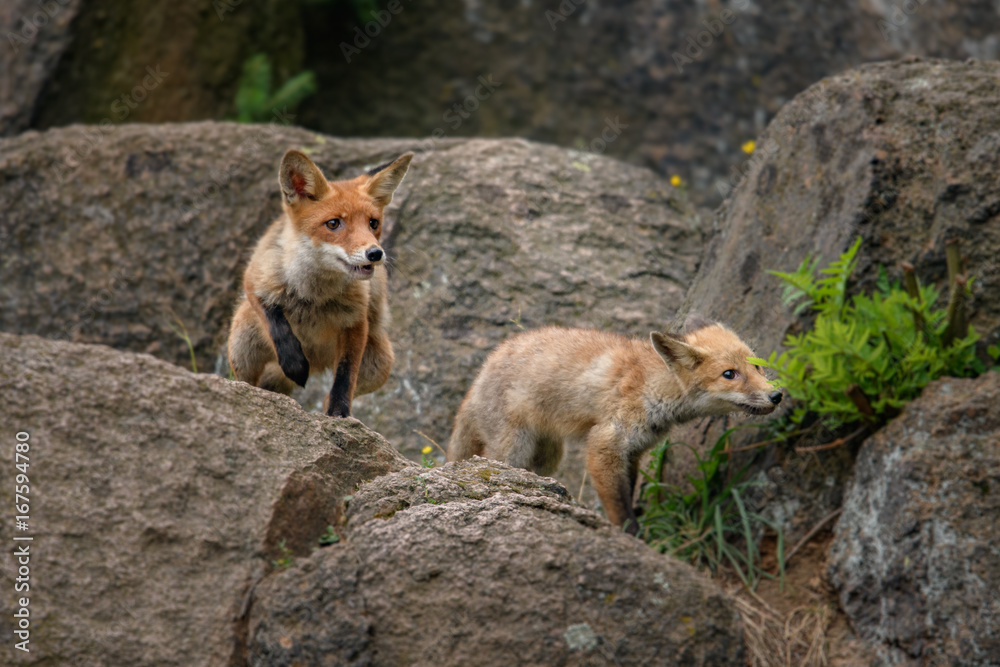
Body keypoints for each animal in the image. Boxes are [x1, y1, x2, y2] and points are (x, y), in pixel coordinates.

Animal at [229, 150, 412, 418]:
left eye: (373, 223)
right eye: (333, 223)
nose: (375, 253)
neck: (315, 293)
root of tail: (317, 364)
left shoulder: (355, 322)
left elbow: (345, 377)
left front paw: (339, 414)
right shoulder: (255, 279)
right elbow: (276, 322)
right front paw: (294, 363)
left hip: (381, 363)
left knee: (334, 389)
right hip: (242, 338)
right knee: (249, 381)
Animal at [448, 318, 780, 532]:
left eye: (759, 367)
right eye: (729, 374)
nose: (777, 395)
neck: (652, 386)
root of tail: (481, 372)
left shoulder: (634, 452)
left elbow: (629, 494)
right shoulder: (605, 444)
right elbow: (620, 509)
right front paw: (633, 538)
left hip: (547, 457)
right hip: (514, 449)